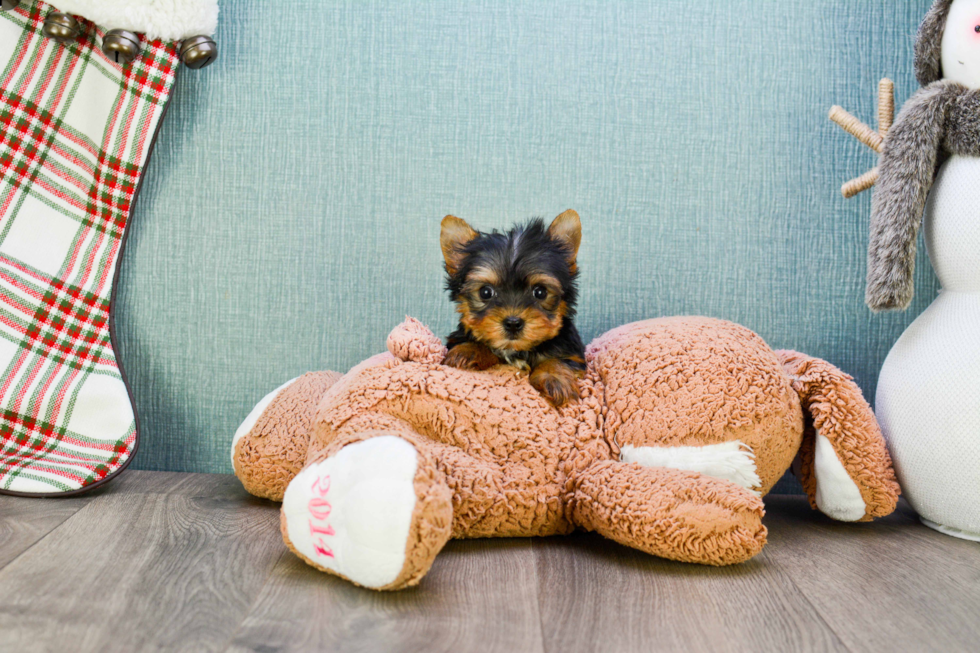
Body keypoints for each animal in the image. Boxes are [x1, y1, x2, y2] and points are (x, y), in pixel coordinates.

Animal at [440, 209, 584, 404]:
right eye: (485, 292)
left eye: (540, 292)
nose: (513, 323)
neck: (517, 351)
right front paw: (469, 350)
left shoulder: (573, 353)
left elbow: (558, 359)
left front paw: (554, 376)